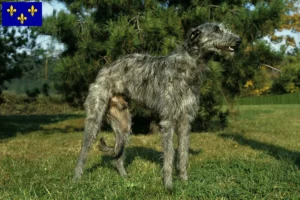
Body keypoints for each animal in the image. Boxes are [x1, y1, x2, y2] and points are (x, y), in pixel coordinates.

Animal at [74, 22, 241, 188]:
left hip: (124, 124)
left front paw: (184, 181)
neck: (188, 66)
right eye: (216, 30)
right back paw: (76, 179)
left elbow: (183, 154)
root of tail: (104, 69)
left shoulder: (185, 120)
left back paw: (125, 178)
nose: (239, 40)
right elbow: (169, 154)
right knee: (83, 150)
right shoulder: (168, 120)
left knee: (118, 156)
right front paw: (168, 185)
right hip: (95, 119)